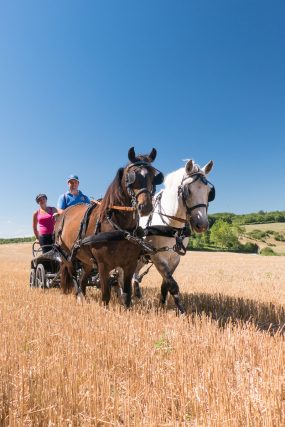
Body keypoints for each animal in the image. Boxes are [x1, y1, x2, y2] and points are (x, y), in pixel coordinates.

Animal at [54, 148, 163, 308]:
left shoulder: (130, 264)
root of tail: (62, 215)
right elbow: (105, 295)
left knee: (83, 278)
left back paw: (82, 296)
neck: (120, 228)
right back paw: (79, 296)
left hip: (86, 261)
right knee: (74, 275)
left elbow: (127, 294)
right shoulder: (103, 265)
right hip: (67, 256)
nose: (145, 207)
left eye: (153, 177)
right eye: (131, 177)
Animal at [132, 160, 214, 314]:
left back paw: (137, 294)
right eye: (188, 191)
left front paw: (163, 304)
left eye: (209, 192)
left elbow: (166, 284)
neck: (171, 226)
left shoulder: (175, 258)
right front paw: (181, 311)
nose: (202, 225)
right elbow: (173, 284)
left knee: (134, 273)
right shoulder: (157, 256)